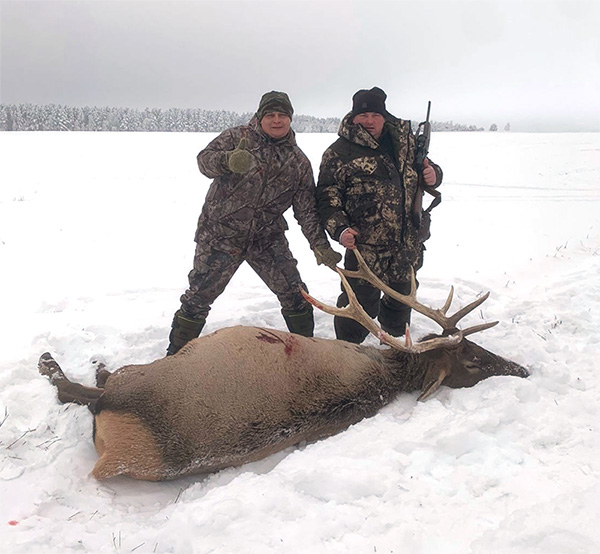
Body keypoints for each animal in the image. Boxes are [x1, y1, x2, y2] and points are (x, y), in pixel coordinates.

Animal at [37, 250, 528, 478]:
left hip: (138, 375)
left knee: (87, 387)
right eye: (473, 357)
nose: (522, 370)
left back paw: (57, 361)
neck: (385, 367)